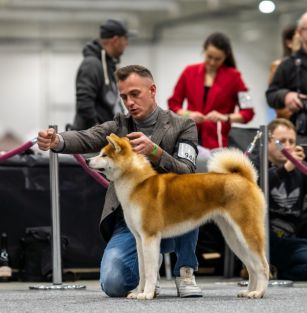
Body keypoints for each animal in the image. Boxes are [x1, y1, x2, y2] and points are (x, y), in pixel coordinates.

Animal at [88, 134, 270, 300]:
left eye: (104, 155)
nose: (88, 160)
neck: (137, 184)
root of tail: (245, 178)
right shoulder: (139, 240)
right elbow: (142, 271)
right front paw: (138, 292)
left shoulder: (150, 237)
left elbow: (150, 271)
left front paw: (146, 294)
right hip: (234, 237)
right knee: (251, 267)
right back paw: (248, 292)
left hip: (247, 233)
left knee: (262, 266)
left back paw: (259, 292)